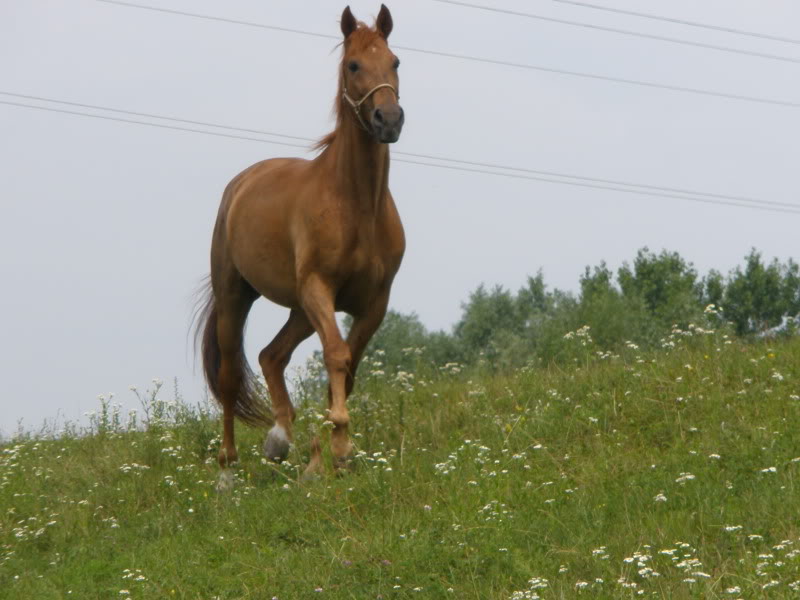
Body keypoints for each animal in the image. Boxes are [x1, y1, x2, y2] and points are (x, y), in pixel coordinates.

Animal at [195, 4, 406, 482]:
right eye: (353, 65)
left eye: (395, 62)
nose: (389, 121)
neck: (356, 205)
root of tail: (240, 185)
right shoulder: (319, 288)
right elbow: (336, 355)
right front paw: (340, 448)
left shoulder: (375, 302)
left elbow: (350, 367)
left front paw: (324, 454)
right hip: (238, 296)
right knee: (231, 374)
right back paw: (227, 470)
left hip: (298, 309)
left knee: (271, 356)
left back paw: (279, 441)